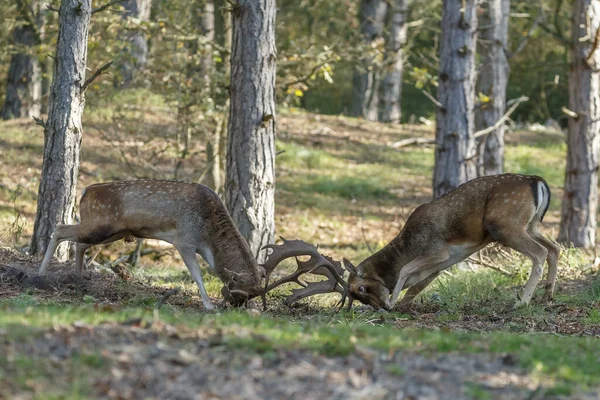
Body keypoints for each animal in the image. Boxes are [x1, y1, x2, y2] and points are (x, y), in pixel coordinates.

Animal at [37, 180, 262, 310]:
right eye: (243, 292)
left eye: (253, 294)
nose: (238, 307)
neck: (208, 234)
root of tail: (84, 191)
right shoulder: (184, 240)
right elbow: (197, 274)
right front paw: (208, 306)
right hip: (98, 225)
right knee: (60, 229)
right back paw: (41, 272)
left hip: (111, 232)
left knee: (80, 243)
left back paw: (79, 277)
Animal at [262, 175, 564, 312]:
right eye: (359, 297)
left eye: (361, 288)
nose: (382, 308)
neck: (408, 245)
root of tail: (537, 181)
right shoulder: (439, 265)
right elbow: (416, 286)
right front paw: (404, 302)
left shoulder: (438, 251)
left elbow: (406, 271)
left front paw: (395, 300)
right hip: (531, 224)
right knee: (554, 248)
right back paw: (548, 296)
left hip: (505, 225)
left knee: (539, 253)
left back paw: (522, 301)